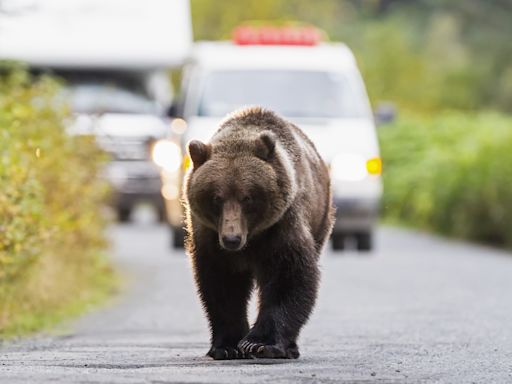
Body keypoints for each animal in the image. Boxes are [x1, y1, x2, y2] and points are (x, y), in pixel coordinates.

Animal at [182, 106, 334, 360]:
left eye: (247, 197)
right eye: (216, 198)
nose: (232, 238)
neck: (251, 239)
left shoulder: (282, 225)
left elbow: (289, 277)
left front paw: (259, 343)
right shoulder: (210, 237)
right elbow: (221, 285)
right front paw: (227, 346)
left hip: (321, 218)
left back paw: (291, 348)